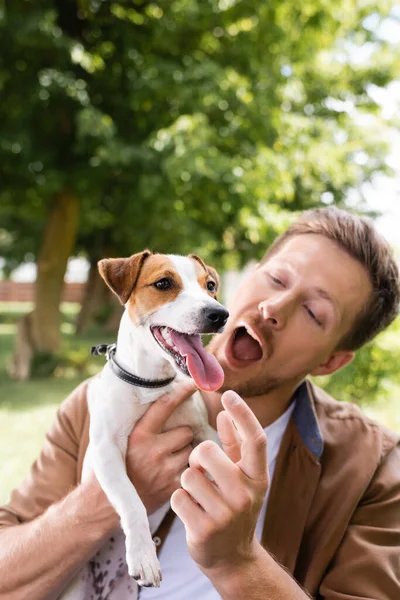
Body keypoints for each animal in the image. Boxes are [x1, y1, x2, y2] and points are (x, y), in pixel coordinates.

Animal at [60, 250, 228, 596]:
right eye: (163, 283)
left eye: (210, 286)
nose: (220, 314)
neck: (152, 384)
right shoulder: (106, 450)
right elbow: (131, 500)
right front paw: (143, 556)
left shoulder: (202, 430)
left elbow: (213, 453)